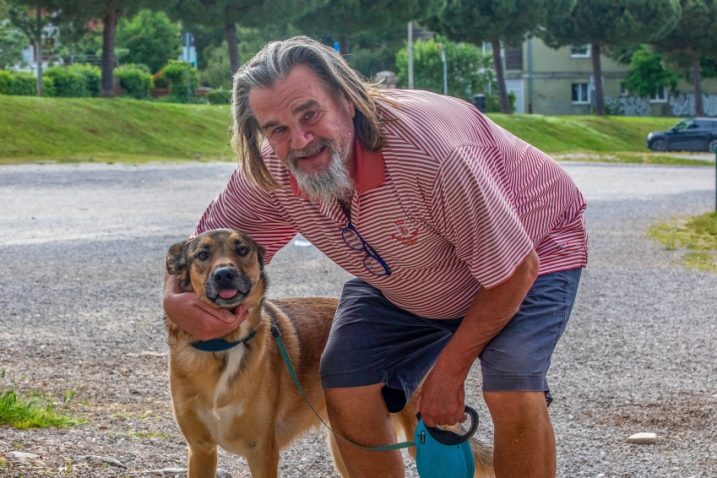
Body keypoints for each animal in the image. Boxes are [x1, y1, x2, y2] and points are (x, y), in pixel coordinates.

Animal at [165, 230, 496, 476]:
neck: (223, 346)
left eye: (242, 250)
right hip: (348, 443)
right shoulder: (201, 450)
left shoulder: (262, 452)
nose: (224, 275)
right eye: (202, 255)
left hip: (419, 431)